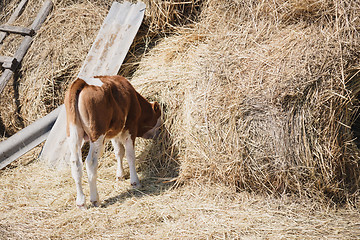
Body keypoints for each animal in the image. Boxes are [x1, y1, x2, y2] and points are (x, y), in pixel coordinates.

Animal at [64, 75, 162, 208]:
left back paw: (81, 202)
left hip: (73, 134)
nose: (160, 132)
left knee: (76, 163)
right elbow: (130, 155)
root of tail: (83, 82)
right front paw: (135, 182)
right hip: (97, 133)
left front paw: (120, 175)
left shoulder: (115, 132)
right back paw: (94, 199)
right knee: (90, 162)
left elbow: (119, 152)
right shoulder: (130, 128)